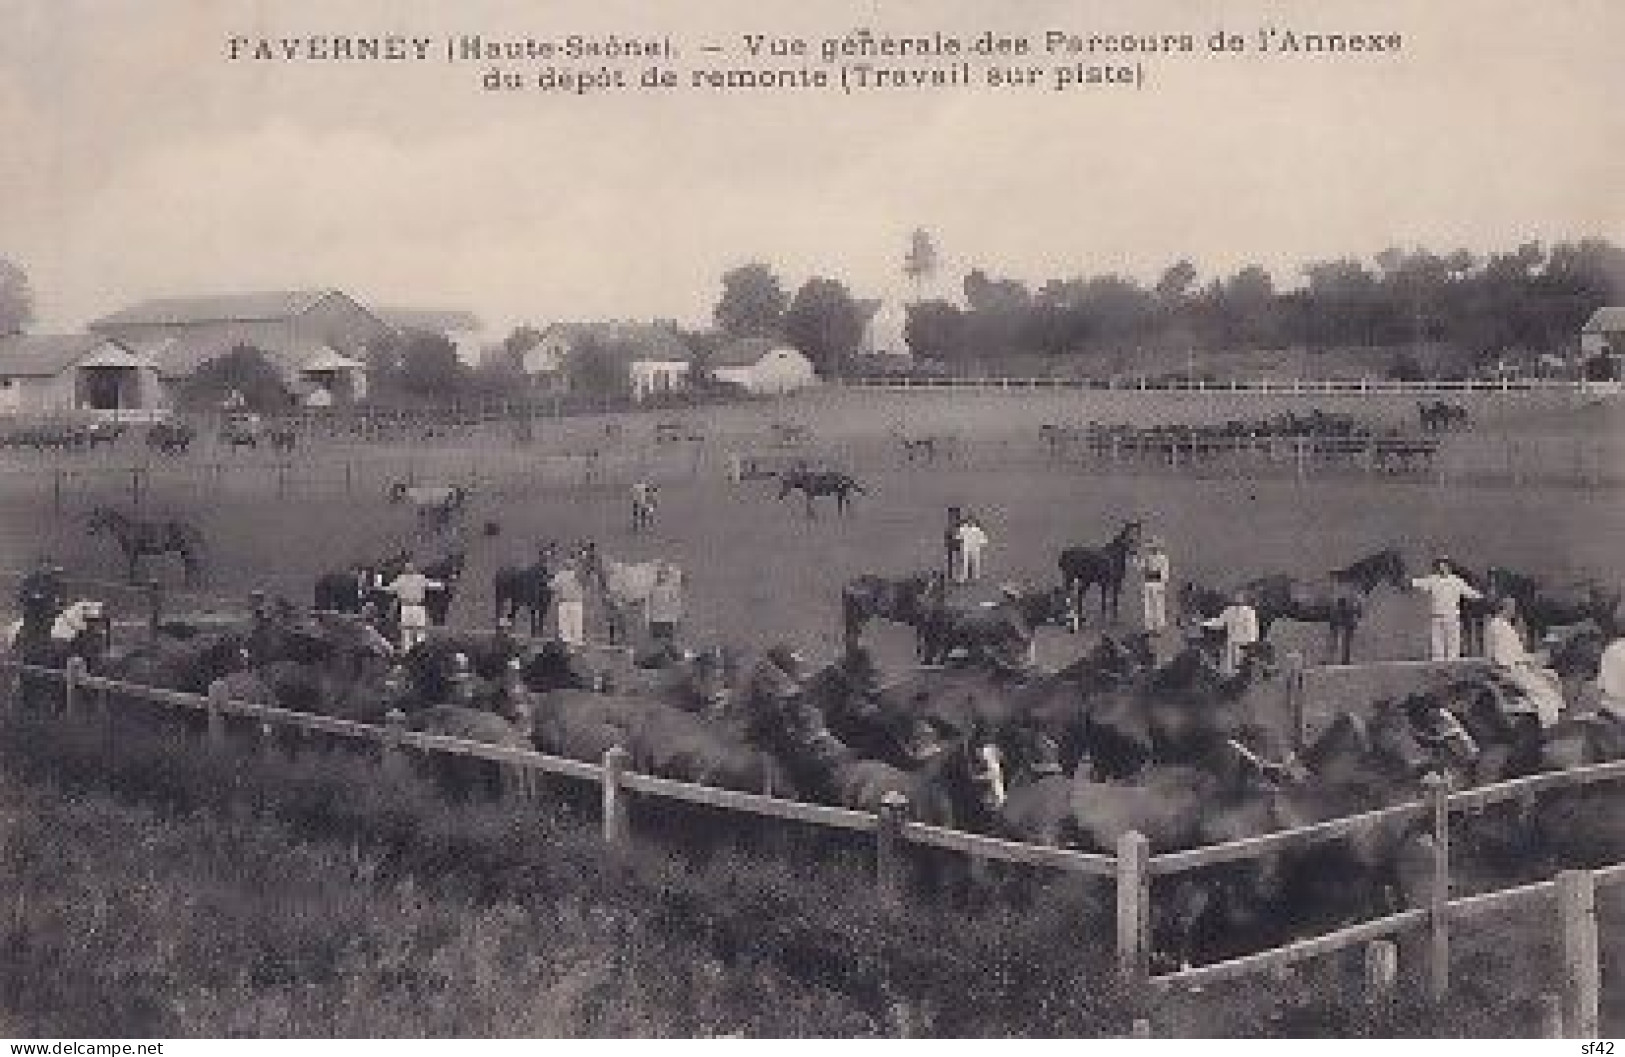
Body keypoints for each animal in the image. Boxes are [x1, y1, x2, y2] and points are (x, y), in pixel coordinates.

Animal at [1241, 546, 1410, 663]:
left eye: (1403, 563)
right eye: (1397, 564)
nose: (1406, 586)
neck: (1353, 583)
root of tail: (1257, 584)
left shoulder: (1336, 621)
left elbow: (1335, 642)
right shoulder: (1350, 621)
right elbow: (1343, 643)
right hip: (1266, 619)